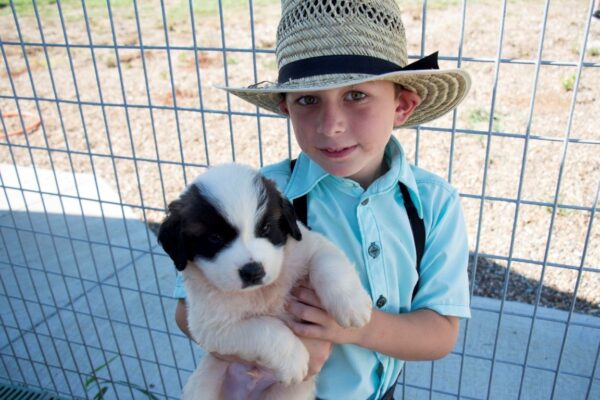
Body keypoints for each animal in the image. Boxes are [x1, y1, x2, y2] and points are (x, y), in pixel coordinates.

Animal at [157, 163, 372, 400]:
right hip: (204, 383)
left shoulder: (309, 246)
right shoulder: (211, 327)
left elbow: (329, 262)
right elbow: (265, 328)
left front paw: (352, 305)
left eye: (266, 228)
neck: (260, 291)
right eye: (215, 238)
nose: (253, 271)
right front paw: (293, 358)